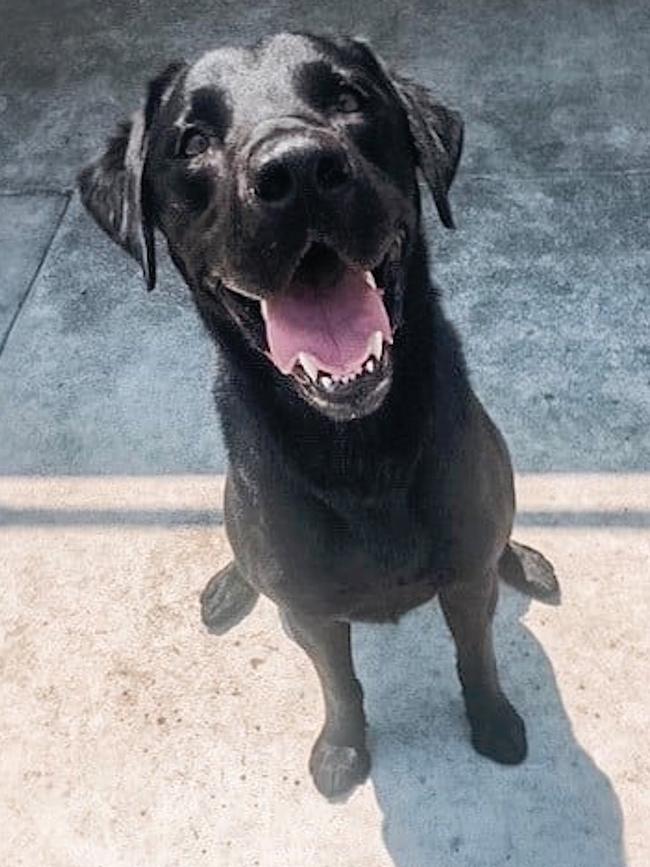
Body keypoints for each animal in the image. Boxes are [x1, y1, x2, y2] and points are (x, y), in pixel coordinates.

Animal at [79, 34, 556, 804]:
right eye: (192, 140)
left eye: (348, 98)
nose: (298, 170)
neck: (358, 449)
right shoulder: (309, 612)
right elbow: (339, 684)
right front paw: (343, 746)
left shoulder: (465, 580)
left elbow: (476, 655)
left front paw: (492, 719)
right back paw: (230, 585)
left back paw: (526, 559)